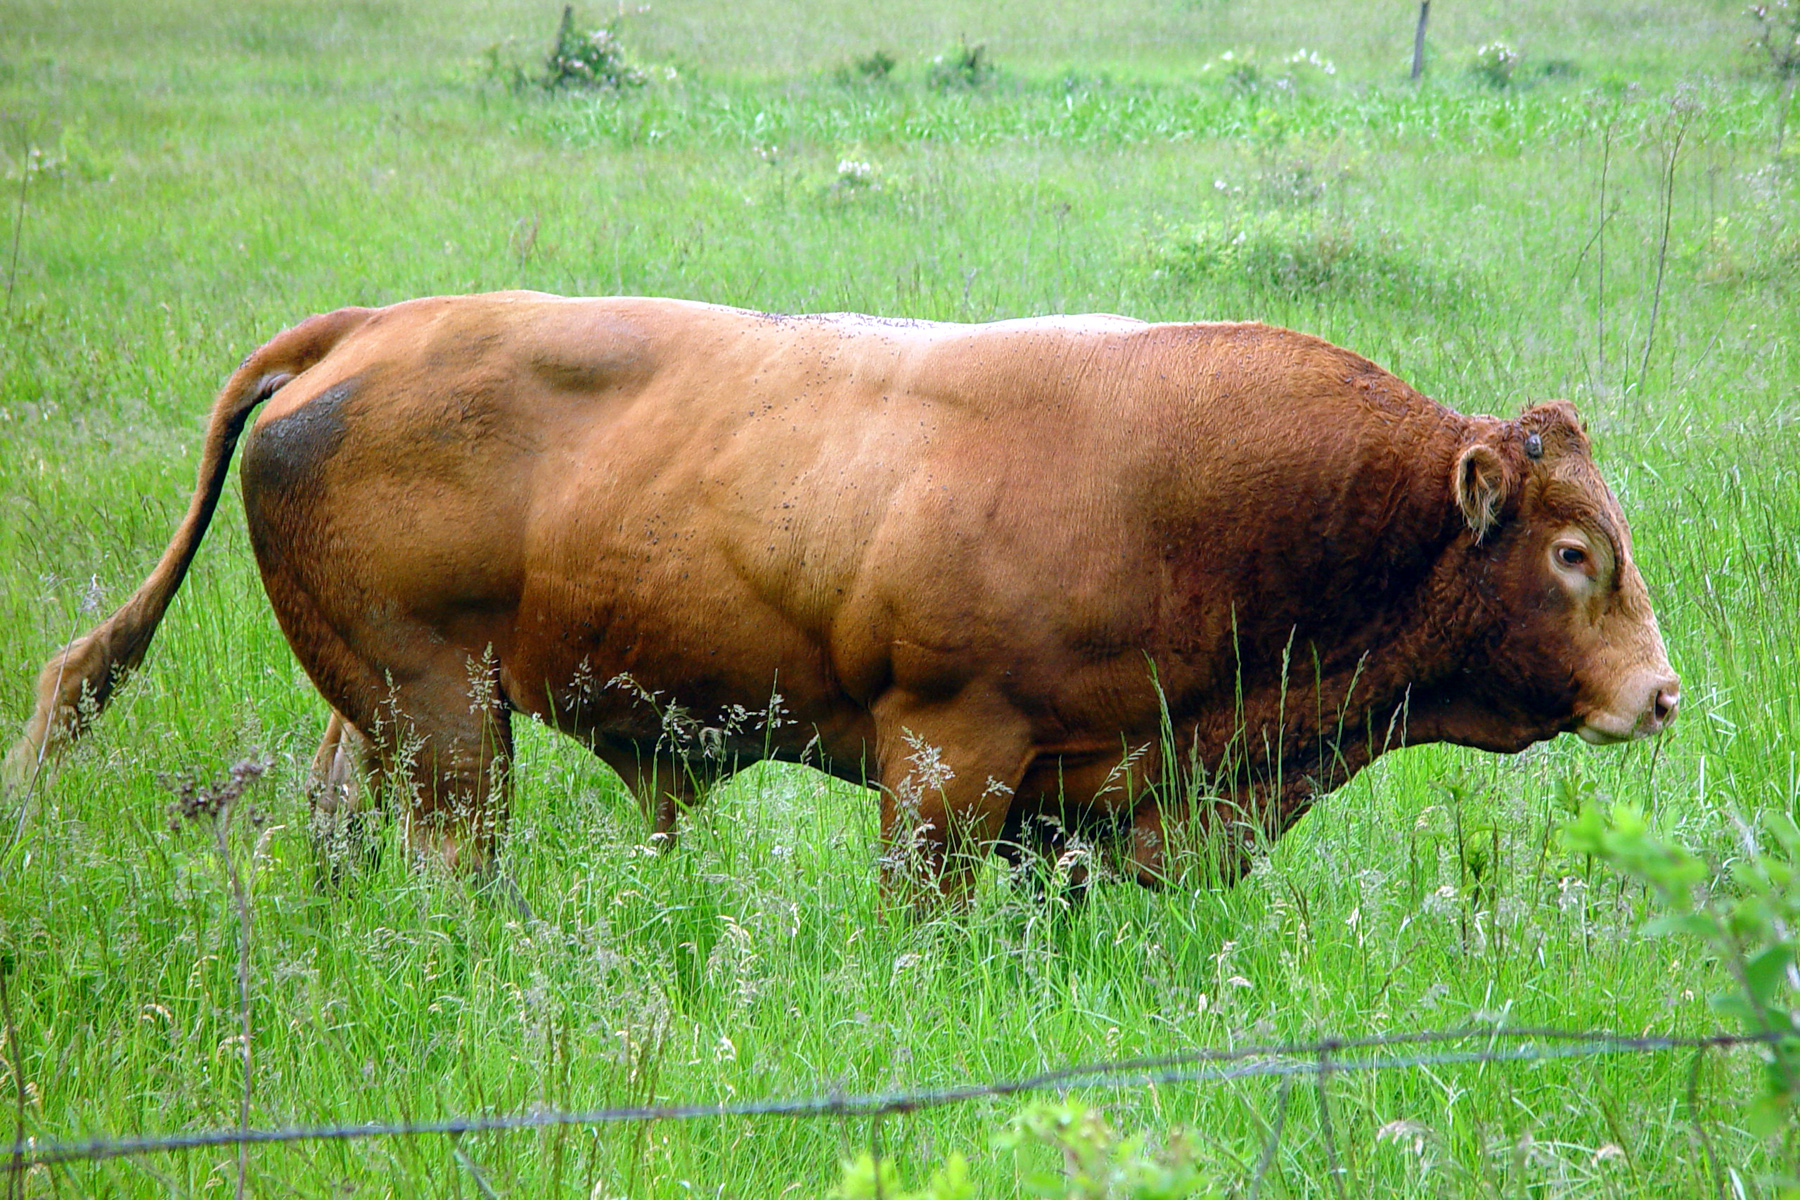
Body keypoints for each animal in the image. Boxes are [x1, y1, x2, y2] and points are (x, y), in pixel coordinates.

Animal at [10, 295, 1670, 906]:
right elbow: (920, 900)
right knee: (444, 849)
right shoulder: (948, 758)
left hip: (387, 713)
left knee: (341, 817)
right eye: (1572, 553)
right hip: (447, 725)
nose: (1657, 695)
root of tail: (366, 330)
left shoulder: (1075, 799)